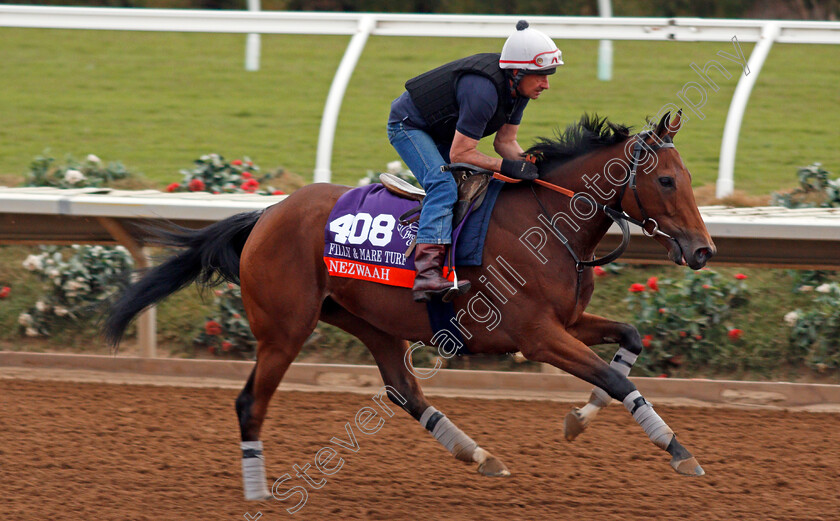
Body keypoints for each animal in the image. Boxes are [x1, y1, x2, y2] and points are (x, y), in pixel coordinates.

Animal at [101, 110, 712, 500]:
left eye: (688, 177)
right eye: (665, 180)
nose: (702, 249)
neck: (548, 223)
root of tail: (266, 215)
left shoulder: (567, 322)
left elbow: (629, 339)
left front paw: (579, 420)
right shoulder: (536, 335)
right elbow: (615, 379)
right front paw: (679, 451)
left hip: (371, 321)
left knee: (404, 390)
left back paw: (480, 456)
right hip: (284, 330)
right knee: (251, 403)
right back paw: (258, 495)